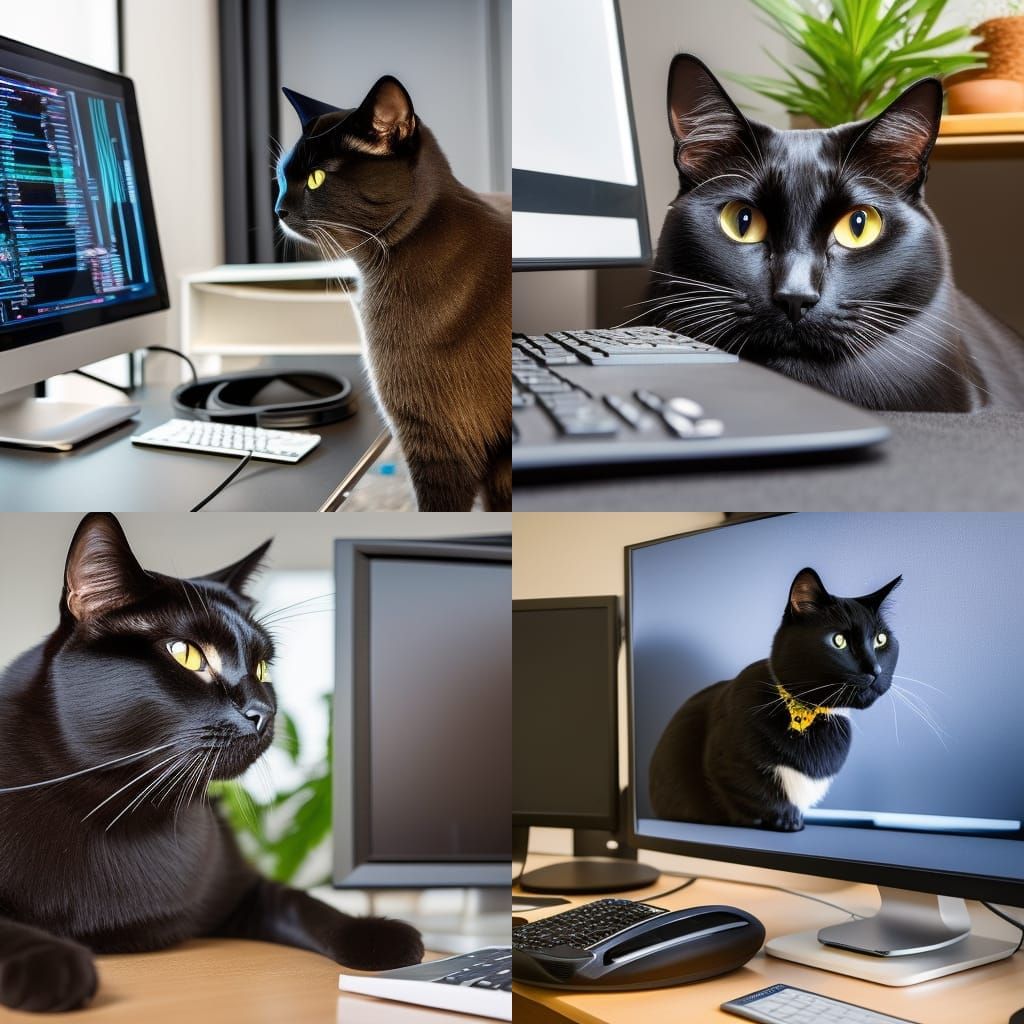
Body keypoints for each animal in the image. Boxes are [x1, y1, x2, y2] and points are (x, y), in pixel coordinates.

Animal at [0, 516, 419, 1011]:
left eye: (262, 668)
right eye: (186, 654)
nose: (264, 712)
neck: (118, 809)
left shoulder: (243, 889)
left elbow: (301, 902)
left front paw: (378, 935)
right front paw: (49, 961)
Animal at [651, 569, 901, 831]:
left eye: (881, 640)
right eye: (839, 641)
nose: (875, 670)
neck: (809, 713)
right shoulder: (723, 763)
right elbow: (754, 795)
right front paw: (787, 821)